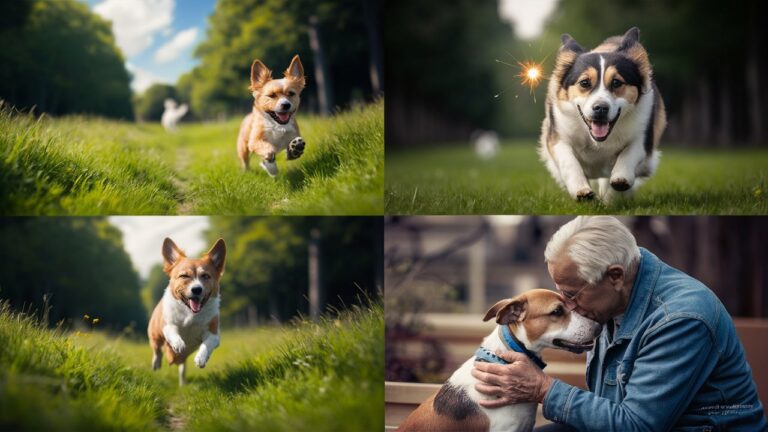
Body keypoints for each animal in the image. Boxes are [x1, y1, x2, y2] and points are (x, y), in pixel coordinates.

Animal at [147, 238, 225, 386]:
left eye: (205, 276)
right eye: (184, 276)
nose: (197, 289)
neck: (190, 314)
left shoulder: (213, 335)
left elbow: (207, 344)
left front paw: (201, 358)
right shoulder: (167, 325)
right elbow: (173, 332)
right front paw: (178, 344)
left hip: (182, 360)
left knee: (182, 368)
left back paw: (183, 383)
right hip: (155, 332)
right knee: (156, 349)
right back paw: (156, 363)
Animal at [540, 27, 664, 202]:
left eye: (616, 82)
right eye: (584, 83)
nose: (600, 108)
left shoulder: (644, 134)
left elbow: (630, 152)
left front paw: (620, 181)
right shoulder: (557, 135)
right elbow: (568, 161)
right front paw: (581, 190)